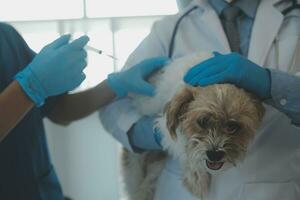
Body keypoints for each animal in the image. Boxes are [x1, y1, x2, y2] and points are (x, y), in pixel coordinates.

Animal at [122, 52, 264, 199]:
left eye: (232, 126)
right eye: (203, 121)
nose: (214, 154)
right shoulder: (164, 128)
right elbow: (185, 150)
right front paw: (197, 180)